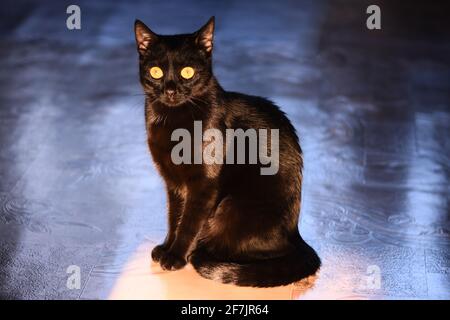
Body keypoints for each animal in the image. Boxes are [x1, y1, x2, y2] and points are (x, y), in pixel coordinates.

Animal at [134, 16, 320, 286]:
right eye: (155, 72)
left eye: (187, 72)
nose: (170, 90)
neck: (173, 122)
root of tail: (296, 234)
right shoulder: (173, 183)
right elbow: (174, 216)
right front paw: (166, 247)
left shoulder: (204, 184)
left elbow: (189, 221)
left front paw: (176, 256)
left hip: (230, 207)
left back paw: (203, 254)